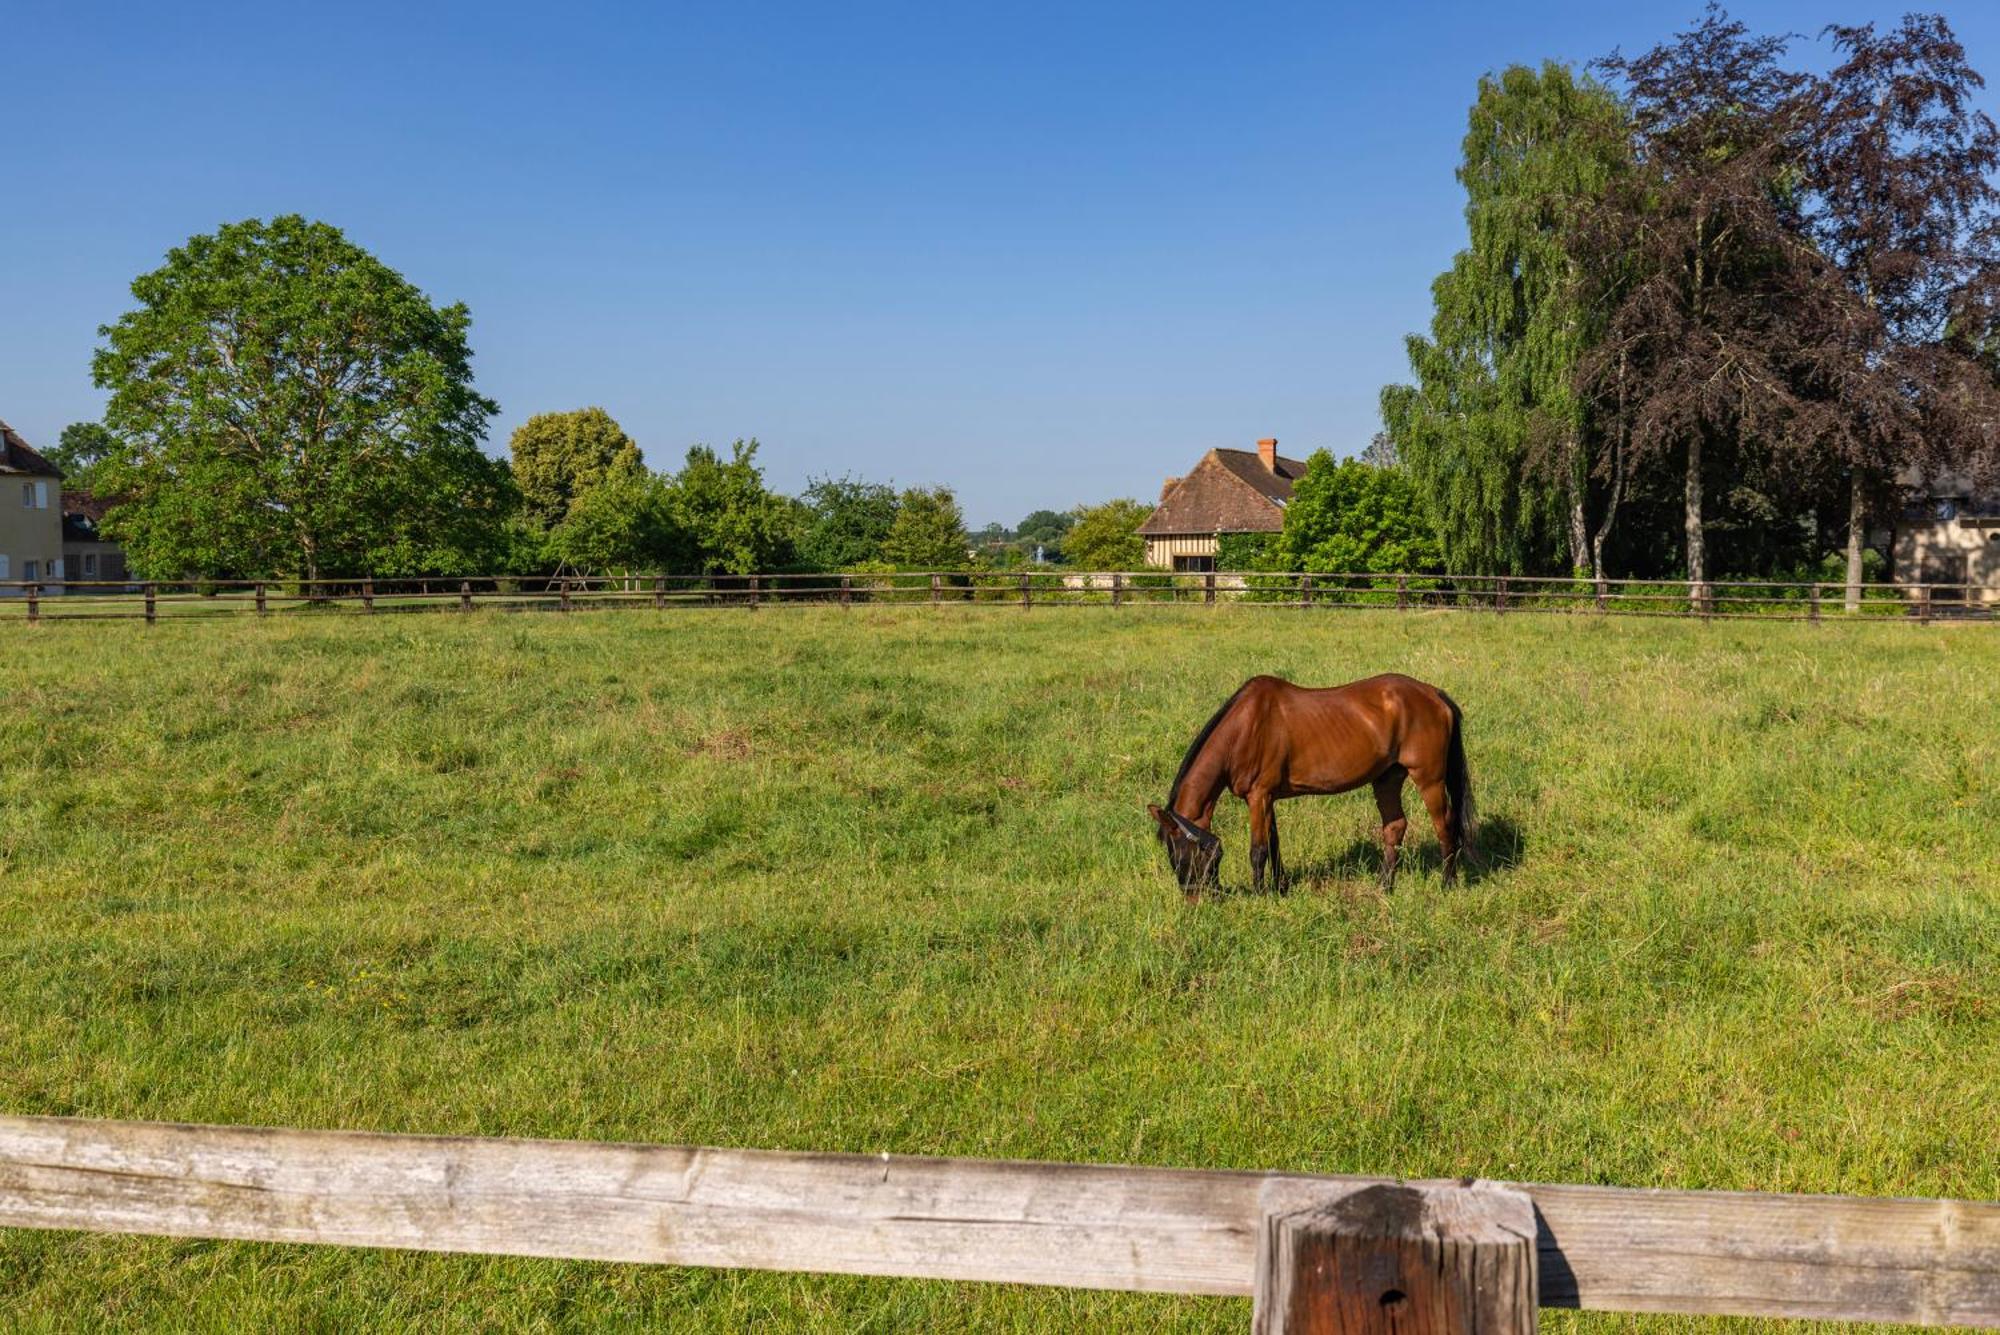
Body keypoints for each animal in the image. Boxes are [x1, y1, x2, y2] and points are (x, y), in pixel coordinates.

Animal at [1144, 671, 1472, 903]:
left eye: (1181, 856)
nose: (1195, 901)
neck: (1243, 729)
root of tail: (1433, 693)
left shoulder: (1259, 796)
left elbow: (1258, 850)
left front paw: (1260, 896)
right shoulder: (1267, 799)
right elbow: (1274, 846)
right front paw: (1280, 888)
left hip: (1429, 779)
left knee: (1444, 826)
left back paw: (1446, 884)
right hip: (1387, 778)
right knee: (1395, 827)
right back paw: (1384, 887)